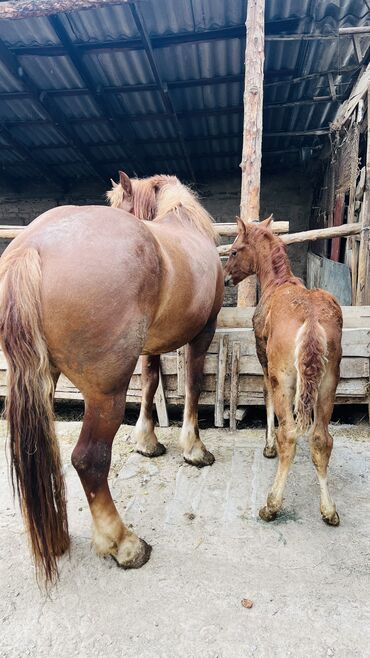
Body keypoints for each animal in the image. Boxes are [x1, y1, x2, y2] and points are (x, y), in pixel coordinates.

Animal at [0, 172, 223, 580]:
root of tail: (33, 246)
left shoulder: (151, 345)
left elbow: (151, 383)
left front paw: (147, 442)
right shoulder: (203, 333)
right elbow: (193, 386)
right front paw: (194, 449)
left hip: (41, 379)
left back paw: (57, 538)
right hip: (106, 395)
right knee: (88, 460)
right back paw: (123, 544)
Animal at [224, 218, 342, 524]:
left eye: (233, 251)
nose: (227, 277)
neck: (276, 282)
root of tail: (311, 322)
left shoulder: (266, 363)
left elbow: (265, 398)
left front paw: (268, 448)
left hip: (286, 380)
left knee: (289, 435)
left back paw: (271, 505)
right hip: (328, 384)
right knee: (321, 439)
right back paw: (329, 510)